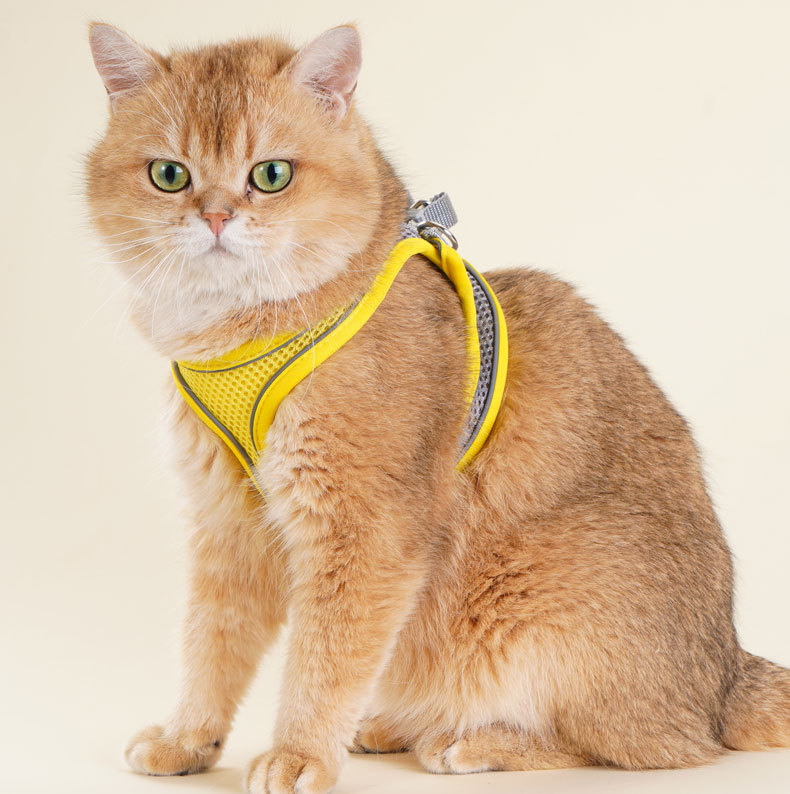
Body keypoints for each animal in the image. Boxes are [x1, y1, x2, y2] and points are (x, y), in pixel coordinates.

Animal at [86, 21, 790, 794]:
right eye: (169, 174)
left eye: (270, 175)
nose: (215, 216)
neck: (241, 327)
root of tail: (727, 678)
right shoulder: (229, 521)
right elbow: (212, 640)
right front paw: (189, 739)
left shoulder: (364, 529)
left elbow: (324, 657)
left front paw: (300, 753)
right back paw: (393, 726)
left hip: (538, 590)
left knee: (639, 746)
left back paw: (473, 740)